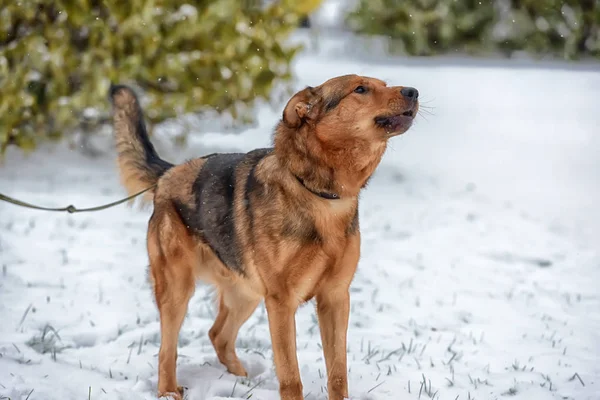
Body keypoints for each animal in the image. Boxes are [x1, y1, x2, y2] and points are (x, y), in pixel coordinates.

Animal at [109, 76, 418, 400]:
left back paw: (241, 380)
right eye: (360, 89)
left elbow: (337, 373)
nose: (413, 92)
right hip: (177, 288)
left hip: (245, 293)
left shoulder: (335, 298)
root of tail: (168, 174)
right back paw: (169, 390)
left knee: (218, 335)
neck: (321, 195)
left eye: (383, 83)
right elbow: (291, 377)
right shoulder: (281, 302)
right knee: (167, 349)